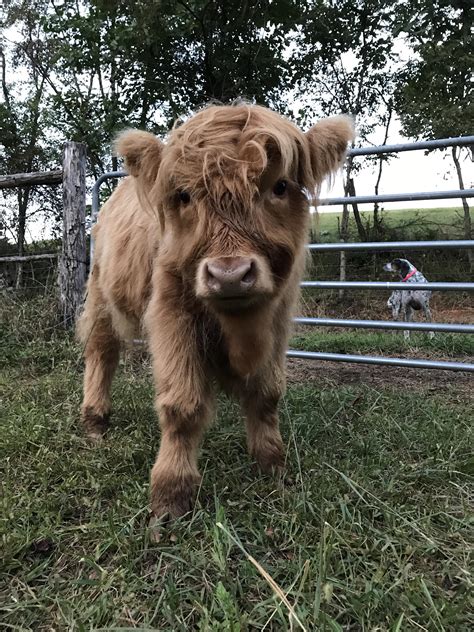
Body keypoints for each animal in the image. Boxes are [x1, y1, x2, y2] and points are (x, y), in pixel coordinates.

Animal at [78, 102, 352, 520]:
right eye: (184, 194)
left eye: (280, 186)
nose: (230, 275)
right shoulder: (172, 314)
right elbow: (182, 404)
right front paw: (170, 495)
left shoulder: (278, 317)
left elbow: (268, 393)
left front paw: (273, 465)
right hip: (101, 297)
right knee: (101, 352)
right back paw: (95, 420)